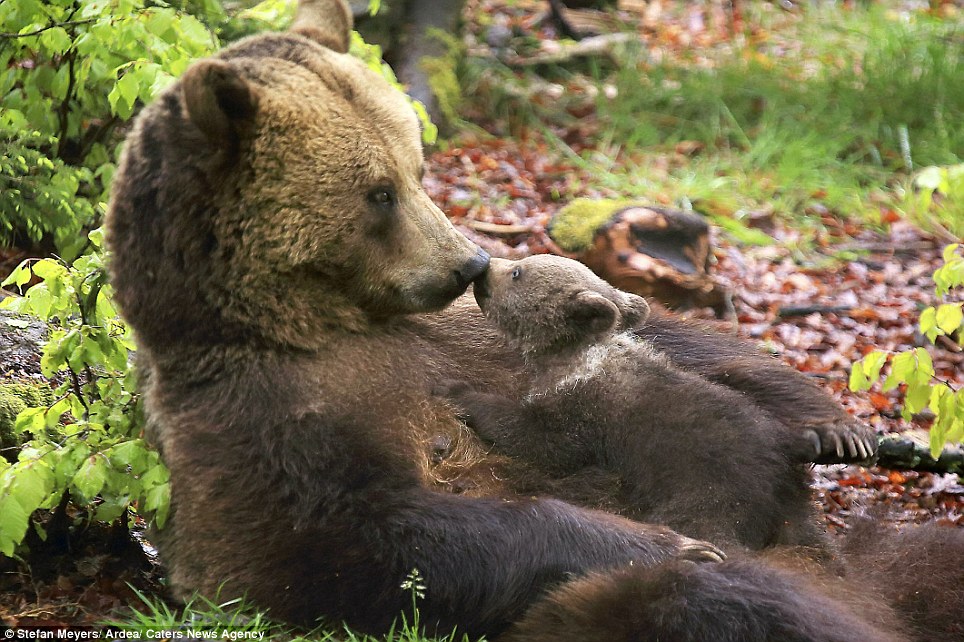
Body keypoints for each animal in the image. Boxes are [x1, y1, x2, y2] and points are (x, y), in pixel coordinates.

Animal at [101, 0, 892, 636]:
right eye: (379, 192)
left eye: (416, 168)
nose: (469, 263)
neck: (324, 320)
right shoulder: (266, 419)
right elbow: (363, 537)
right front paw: (664, 541)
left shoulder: (463, 332)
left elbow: (673, 340)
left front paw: (831, 423)